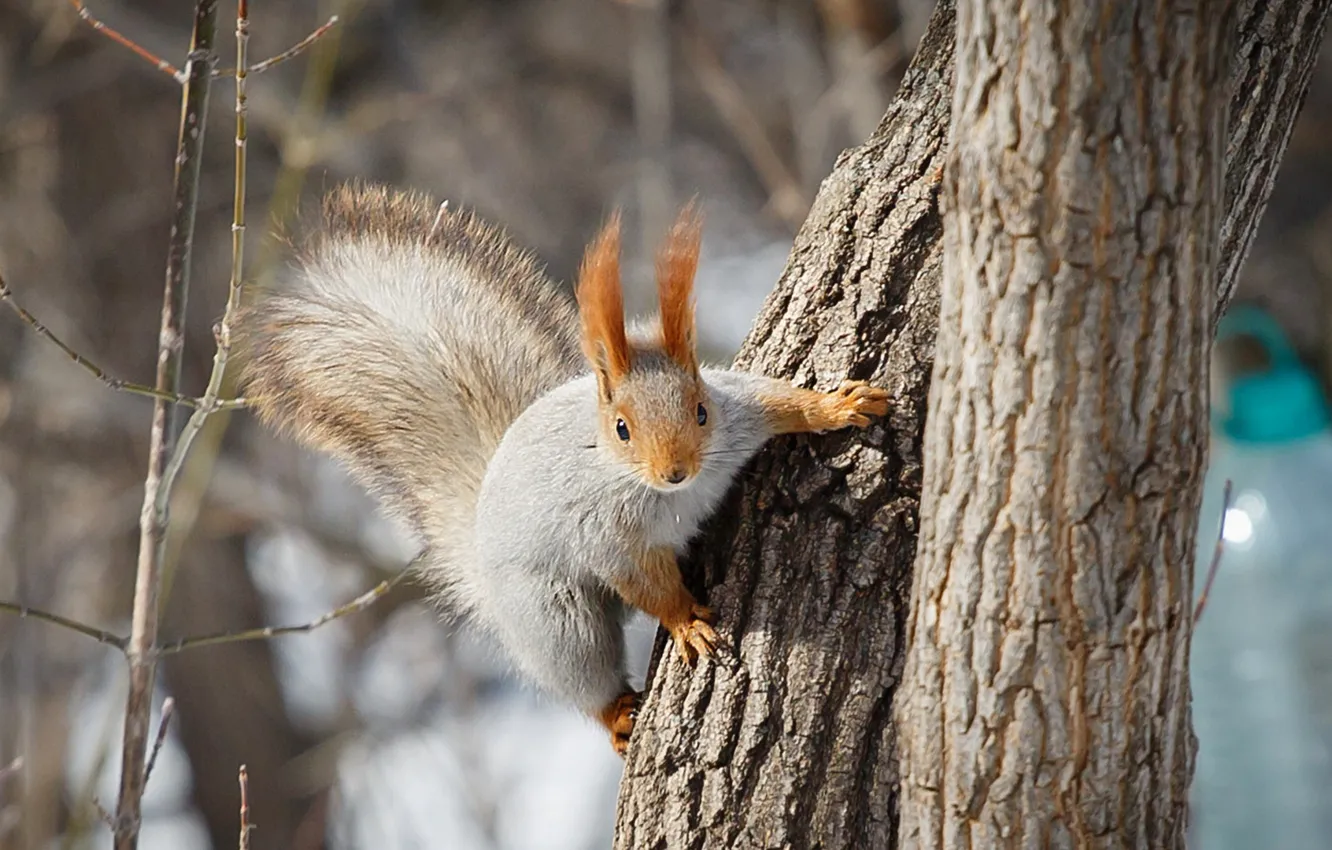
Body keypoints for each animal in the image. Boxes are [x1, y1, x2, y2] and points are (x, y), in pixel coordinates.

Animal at [235, 183, 889, 756]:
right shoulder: (606, 531)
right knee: (583, 671)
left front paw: (838, 406)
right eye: (622, 428)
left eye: (700, 411)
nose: (675, 470)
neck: (664, 491)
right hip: (553, 618)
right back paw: (616, 714)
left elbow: (780, 401)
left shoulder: (740, 414)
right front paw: (685, 623)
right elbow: (643, 581)